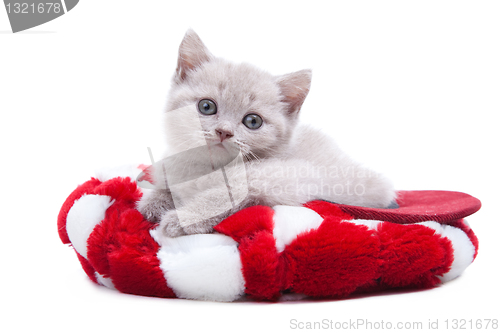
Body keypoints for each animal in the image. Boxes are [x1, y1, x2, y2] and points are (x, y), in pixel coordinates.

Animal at [137, 29, 394, 236]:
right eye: (206, 106)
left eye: (253, 121)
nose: (224, 132)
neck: (209, 168)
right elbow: (166, 187)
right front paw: (152, 203)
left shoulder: (288, 177)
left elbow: (222, 196)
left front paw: (181, 219)